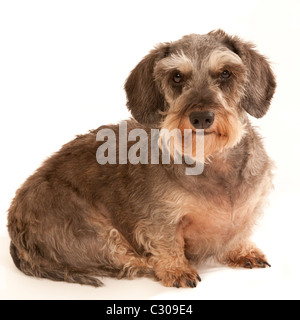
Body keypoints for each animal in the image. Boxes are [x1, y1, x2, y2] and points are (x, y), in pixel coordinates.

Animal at [6, 30, 276, 288]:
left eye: (225, 73)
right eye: (177, 76)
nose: (201, 117)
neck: (212, 162)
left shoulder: (250, 207)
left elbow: (238, 232)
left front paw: (242, 250)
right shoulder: (159, 218)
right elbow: (167, 243)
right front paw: (176, 269)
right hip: (91, 228)